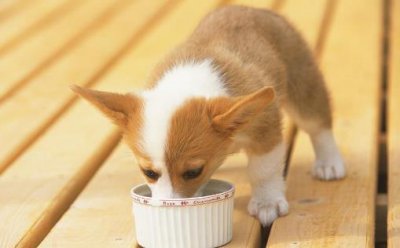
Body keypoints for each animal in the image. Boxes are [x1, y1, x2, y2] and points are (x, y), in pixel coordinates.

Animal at [72, 5, 346, 227]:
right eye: (148, 173)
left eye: (193, 172)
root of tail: (251, 9)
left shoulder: (265, 131)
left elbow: (263, 170)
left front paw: (266, 202)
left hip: (303, 86)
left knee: (318, 125)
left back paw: (329, 163)